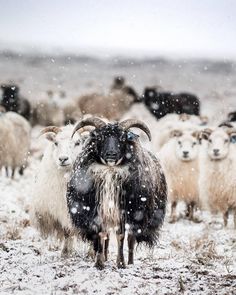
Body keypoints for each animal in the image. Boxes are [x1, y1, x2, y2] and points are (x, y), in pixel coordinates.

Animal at [29, 125, 87, 256]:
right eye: (56, 143)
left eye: (78, 142)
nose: (63, 159)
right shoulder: (61, 210)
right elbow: (66, 231)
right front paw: (65, 252)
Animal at [65, 118, 167, 270]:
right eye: (100, 137)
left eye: (123, 138)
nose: (111, 155)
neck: (110, 171)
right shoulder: (97, 210)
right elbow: (100, 234)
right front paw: (99, 262)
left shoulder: (124, 212)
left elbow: (121, 236)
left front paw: (121, 263)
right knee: (107, 237)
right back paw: (106, 257)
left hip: (136, 216)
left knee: (131, 239)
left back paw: (130, 262)